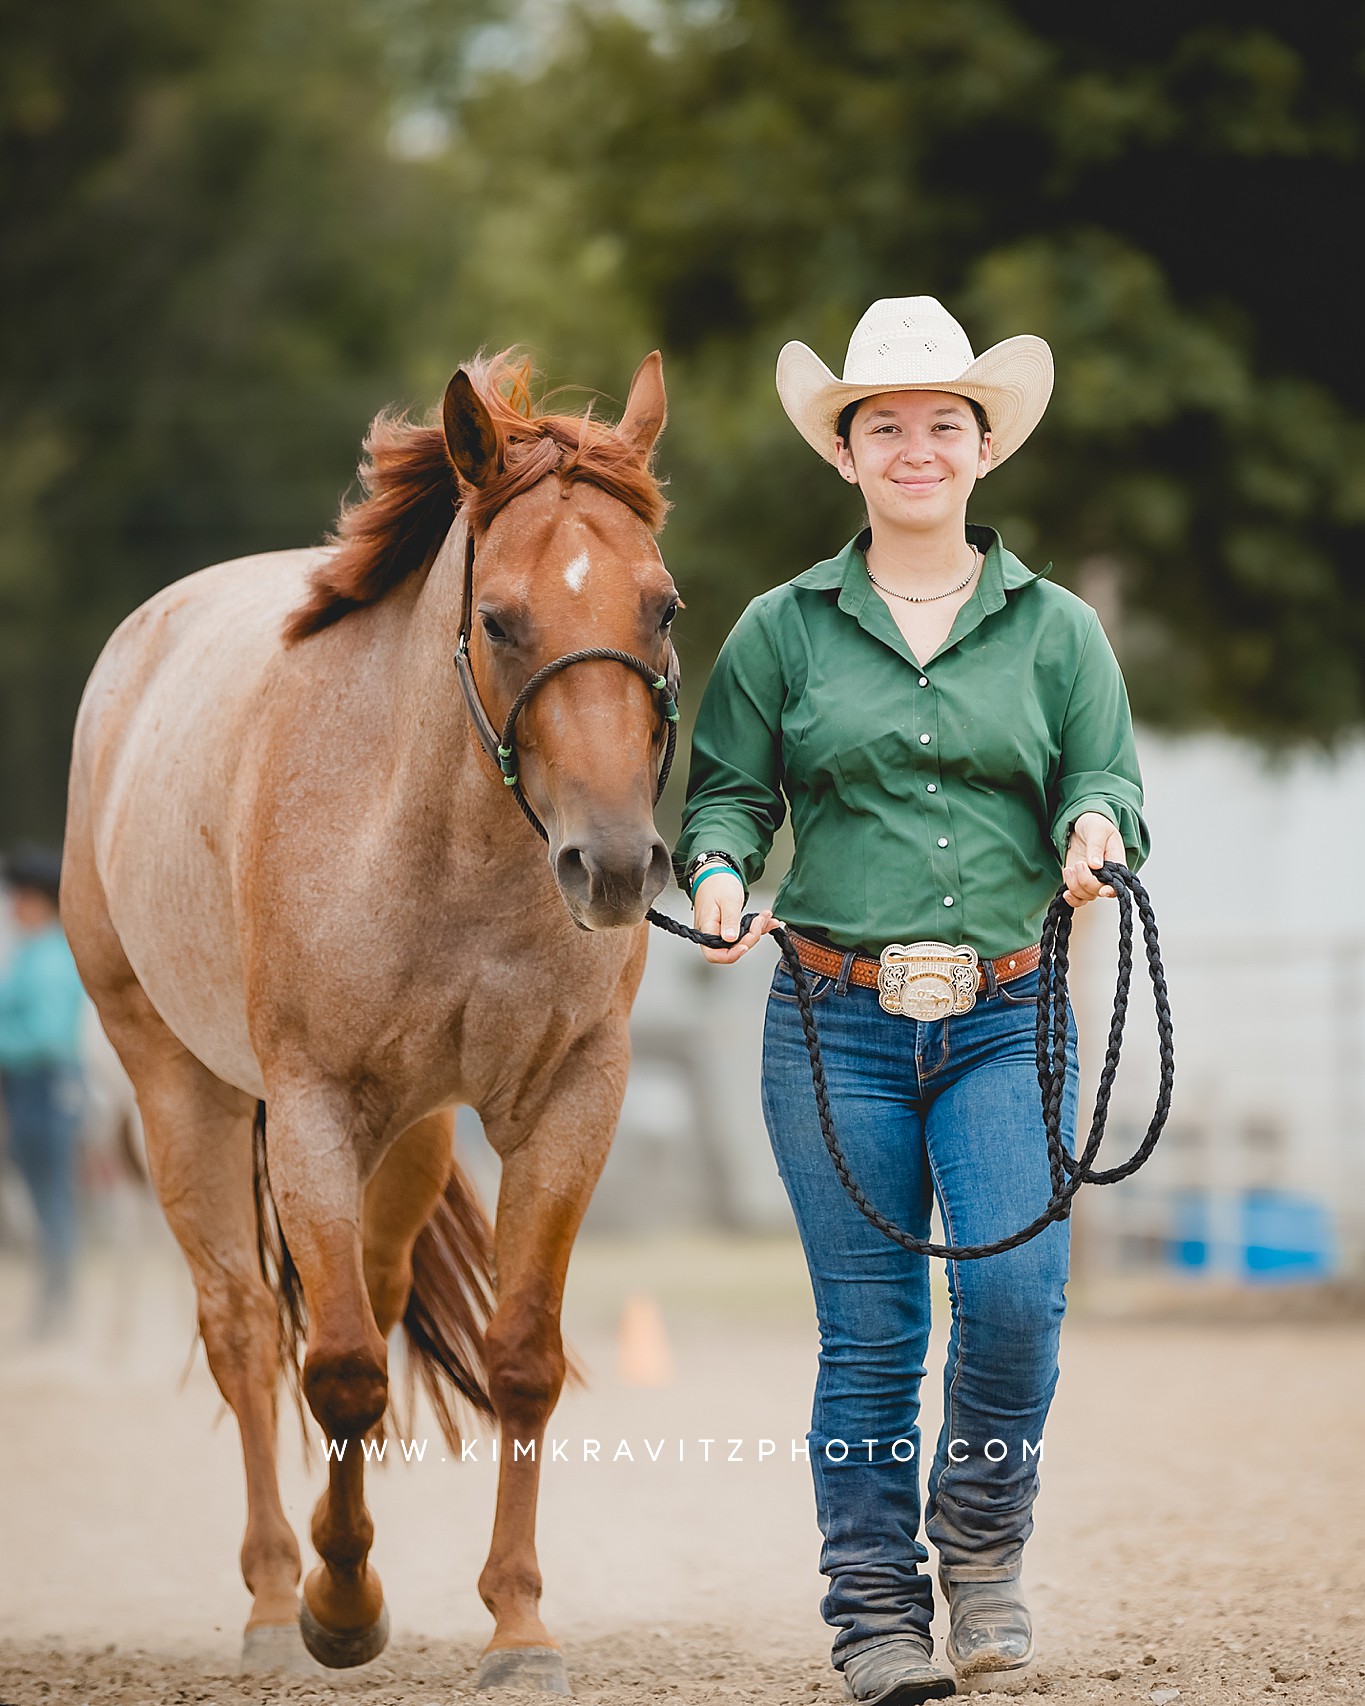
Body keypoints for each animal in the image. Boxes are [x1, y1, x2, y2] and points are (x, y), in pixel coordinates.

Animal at [61, 349, 679, 1692]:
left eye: (661, 607)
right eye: (498, 618)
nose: (615, 866)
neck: (439, 837)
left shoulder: (568, 1099)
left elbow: (518, 1357)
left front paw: (517, 1625)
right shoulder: (312, 1107)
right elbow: (335, 1368)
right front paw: (339, 1609)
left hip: (412, 1131)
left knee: (380, 1294)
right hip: (176, 1083)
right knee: (249, 1328)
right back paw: (273, 1597)